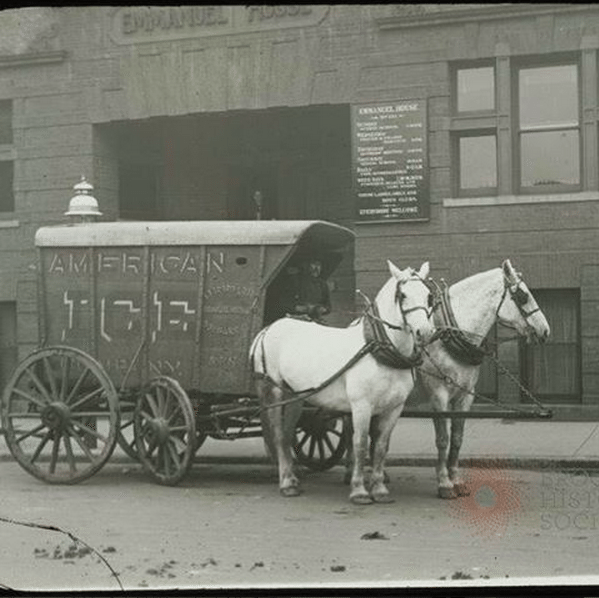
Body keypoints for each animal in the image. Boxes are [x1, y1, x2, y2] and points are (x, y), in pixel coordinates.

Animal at [251, 262, 434, 506]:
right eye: (402, 295)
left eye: (428, 296)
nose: (426, 332)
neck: (378, 350)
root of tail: (268, 329)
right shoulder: (361, 406)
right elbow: (360, 444)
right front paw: (359, 491)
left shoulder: (394, 408)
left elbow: (381, 447)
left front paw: (379, 489)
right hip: (273, 391)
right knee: (278, 434)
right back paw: (286, 483)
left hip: (294, 395)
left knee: (288, 434)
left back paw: (292, 479)